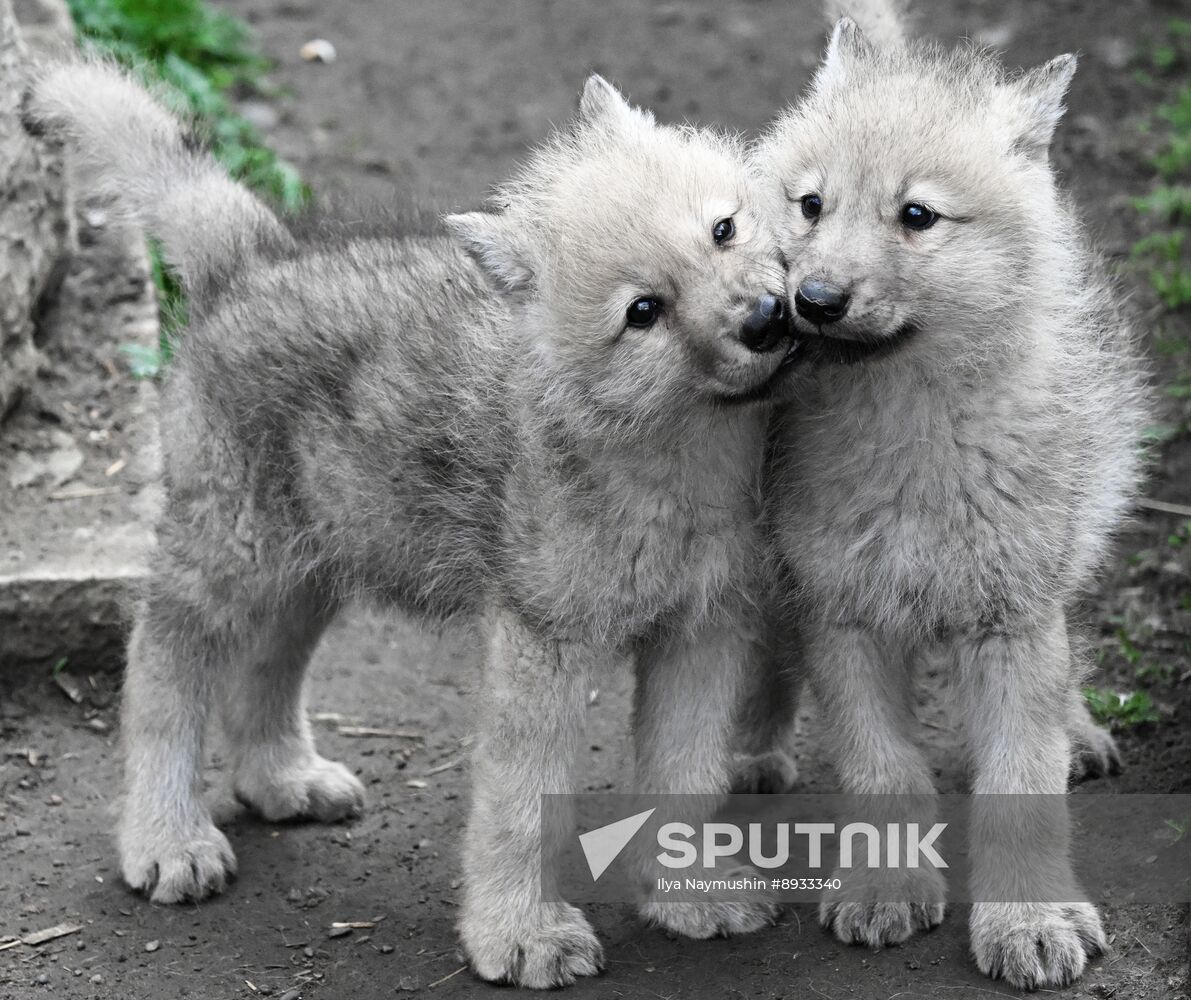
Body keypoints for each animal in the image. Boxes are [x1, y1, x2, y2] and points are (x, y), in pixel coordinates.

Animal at [26, 62, 799, 988]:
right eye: (642, 311)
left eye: (723, 229)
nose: (767, 319)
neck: (678, 456)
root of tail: (252, 255)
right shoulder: (541, 646)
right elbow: (519, 804)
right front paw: (520, 935)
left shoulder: (701, 631)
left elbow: (687, 774)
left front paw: (690, 897)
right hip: (233, 554)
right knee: (162, 664)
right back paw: (165, 837)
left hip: (317, 557)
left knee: (265, 666)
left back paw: (281, 779)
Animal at [747, 0, 1148, 989]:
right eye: (810, 205)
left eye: (916, 216)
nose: (813, 299)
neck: (911, 443)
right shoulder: (840, 616)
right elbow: (882, 771)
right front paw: (884, 890)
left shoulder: (1012, 618)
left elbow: (1021, 783)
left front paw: (1026, 918)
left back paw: (1079, 732)